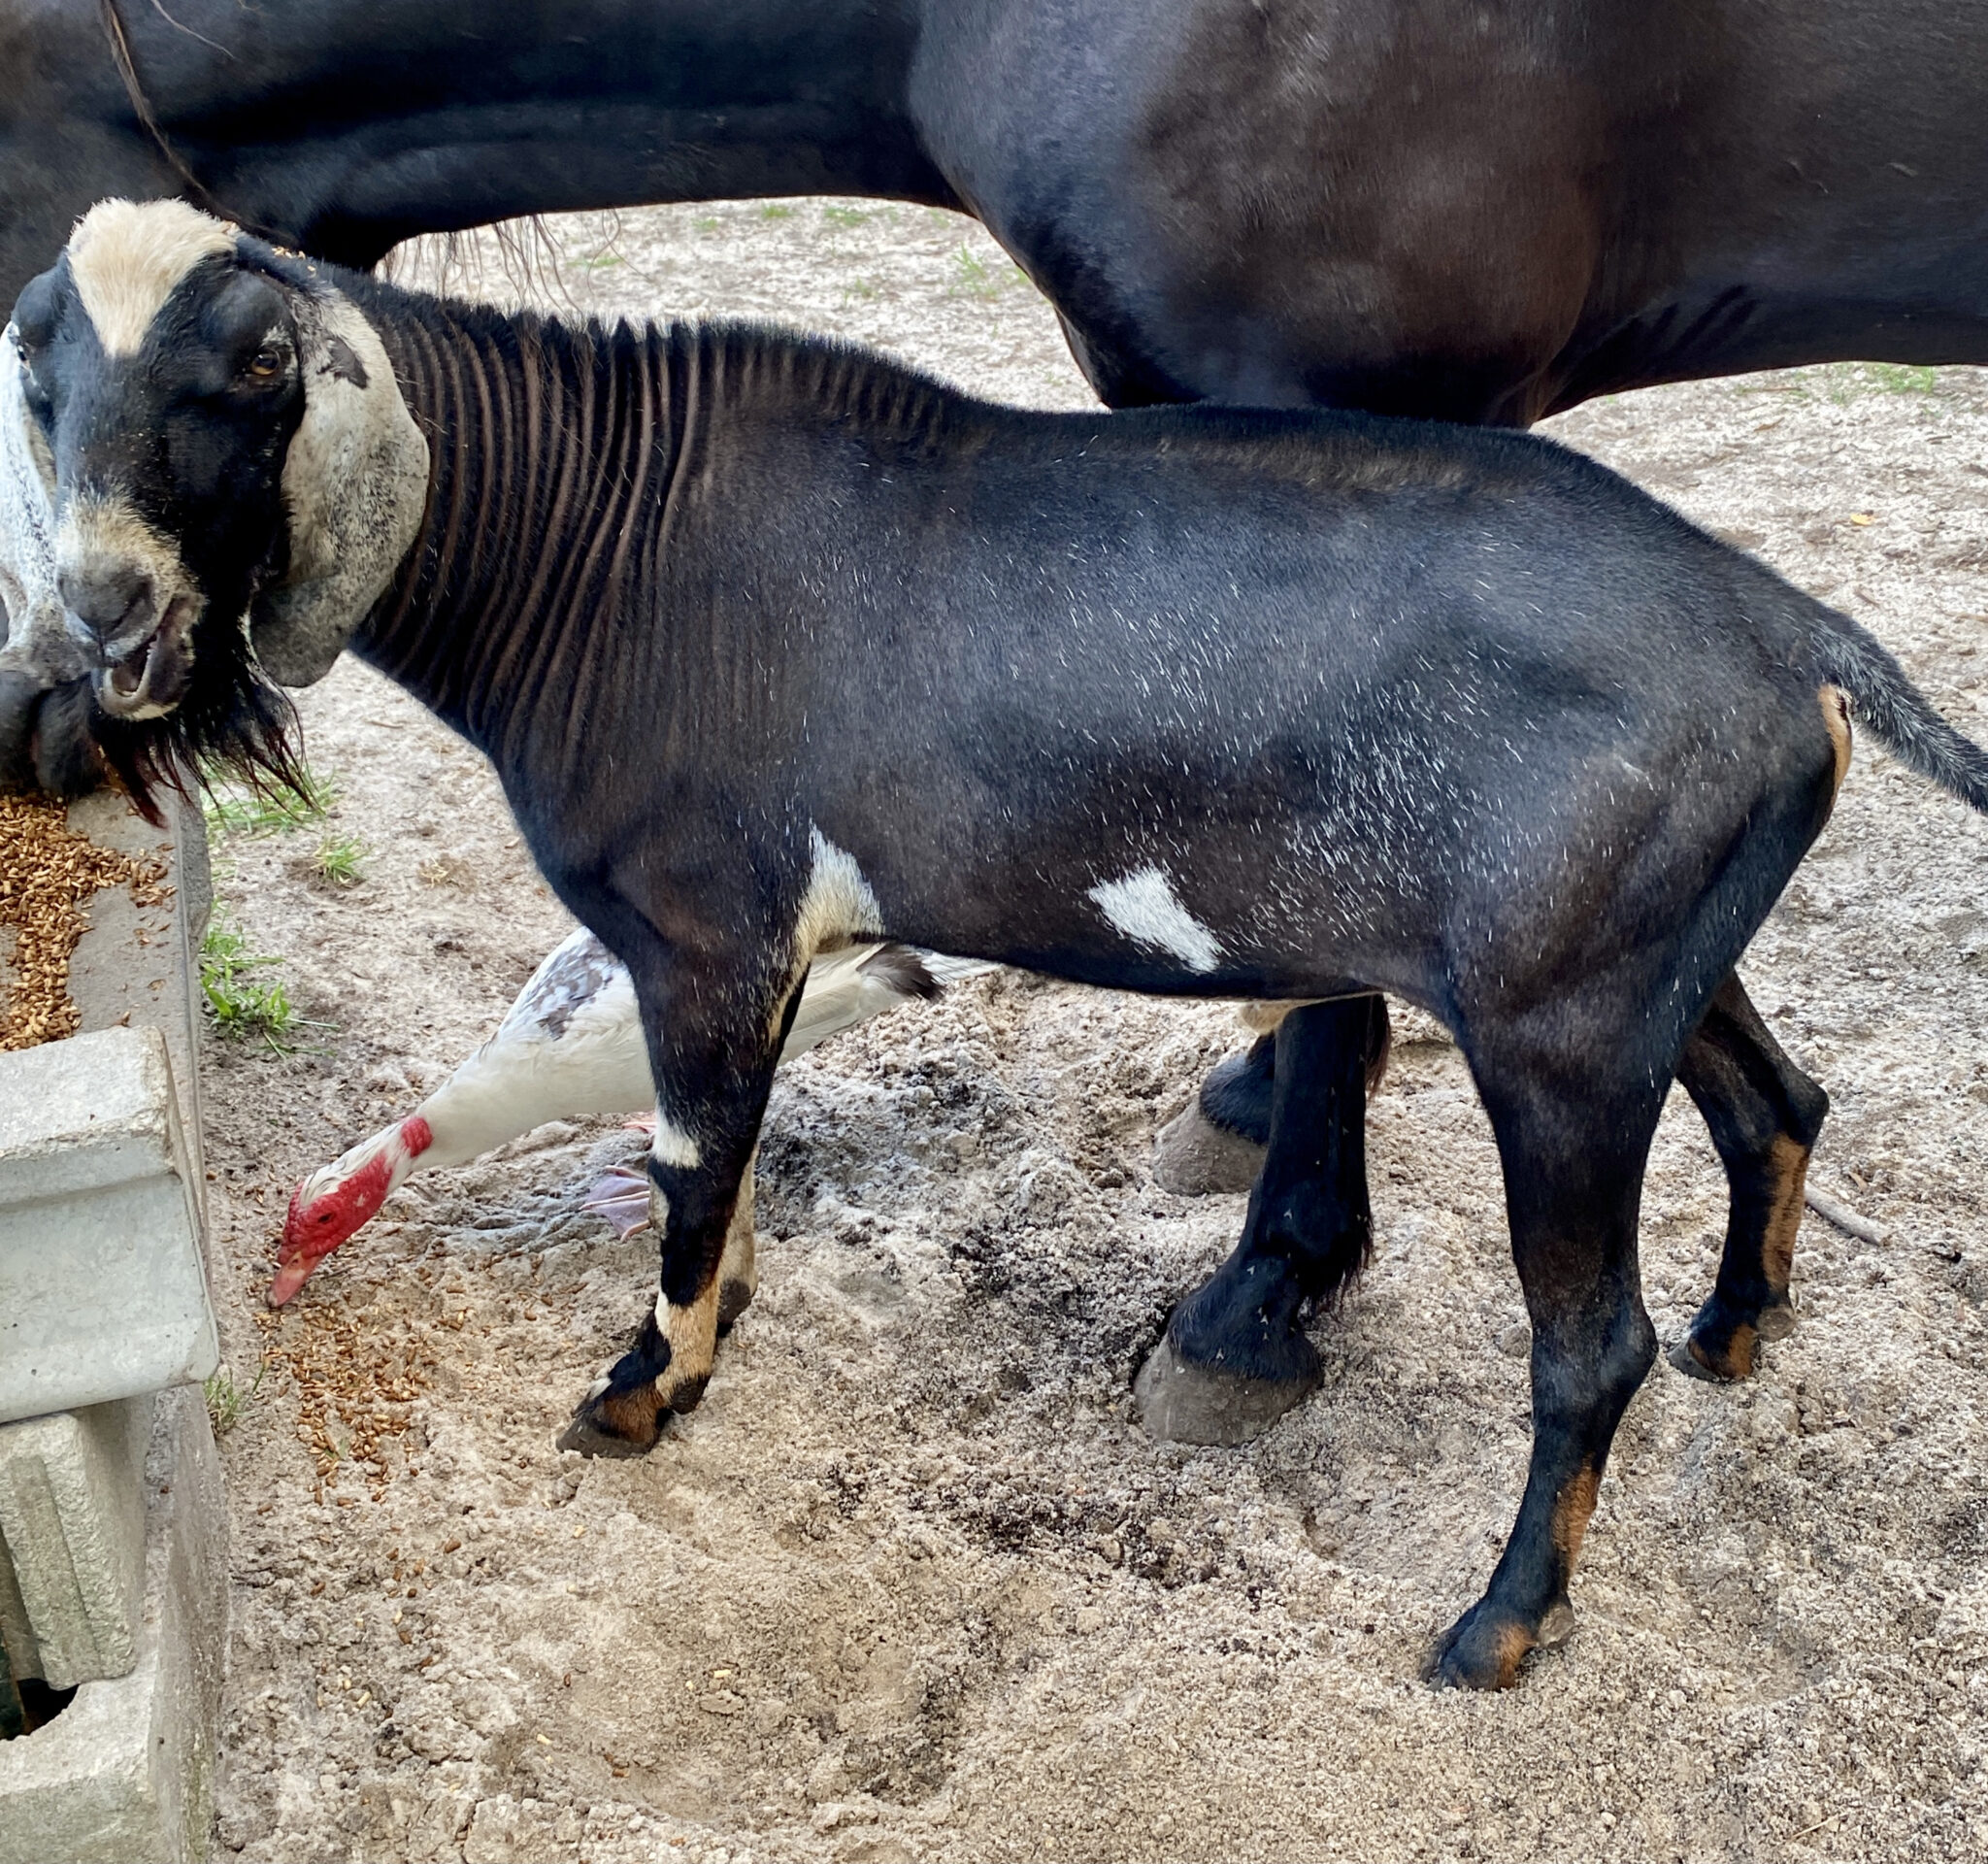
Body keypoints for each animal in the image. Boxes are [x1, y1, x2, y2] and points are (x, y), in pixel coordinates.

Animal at [11, 201, 1986, 1690]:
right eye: (36, 369)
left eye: (258, 364)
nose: (105, 612)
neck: (598, 548)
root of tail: (1789, 633)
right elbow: (726, 1164)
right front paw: (714, 1332)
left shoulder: (703, 926)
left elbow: (686, 1168)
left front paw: (643, 1395)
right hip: (1636, 966)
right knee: (1780, 1104)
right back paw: (1740, 1332)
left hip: (1558, 1026)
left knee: (1588, 1347)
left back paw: (1499, 1626)